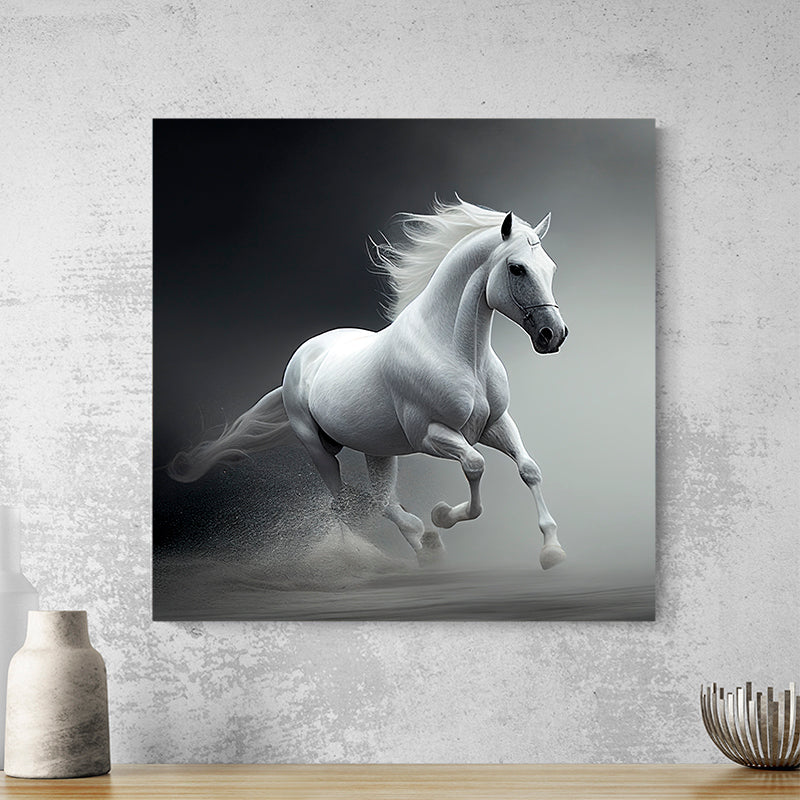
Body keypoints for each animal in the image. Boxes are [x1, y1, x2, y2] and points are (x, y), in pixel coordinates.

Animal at [168, 198, 569, 570]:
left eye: (550, 267)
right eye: (517, 268)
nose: (553, 335)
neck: (457, 353)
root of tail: (299, 363)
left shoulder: (494, 424)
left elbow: (529, 469)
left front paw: (551, 550)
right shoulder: (430, 435)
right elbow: (474, 465)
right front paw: (442, 515)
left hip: (378, 450)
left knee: (380, 501)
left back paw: (427, 548)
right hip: (318, 448)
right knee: (350, 503)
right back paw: (419, 543)